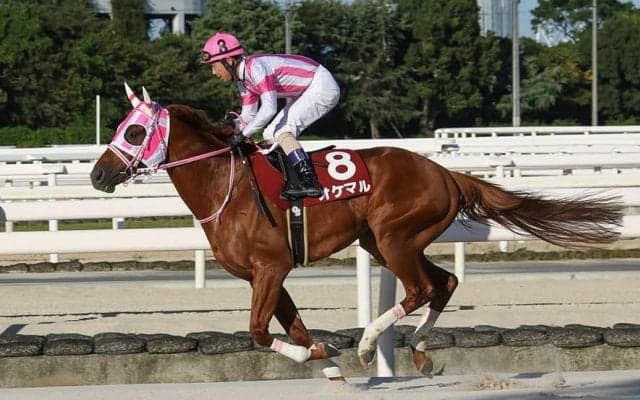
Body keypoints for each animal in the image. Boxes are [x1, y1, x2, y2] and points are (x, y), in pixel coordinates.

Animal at [90, 84, 623, 381]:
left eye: (133, 132)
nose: (98, 175)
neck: (227, 186)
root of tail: (445, 172)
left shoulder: (271, 268)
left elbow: (259, 332)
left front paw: (329, 354)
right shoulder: (268, 276)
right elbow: (296, 329)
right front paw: (325, 361)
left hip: (394, 237)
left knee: (420, 288)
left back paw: (369, 345)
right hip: (388, 241)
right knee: (445, 283)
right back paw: (419, 352)